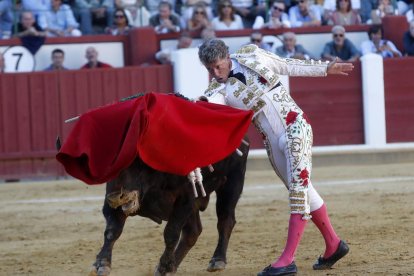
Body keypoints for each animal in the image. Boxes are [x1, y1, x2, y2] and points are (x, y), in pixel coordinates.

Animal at [90, 140, 249, 276]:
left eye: (138, 159)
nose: (115, 197)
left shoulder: (186, 199)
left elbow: (171, 234)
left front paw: (164, 267)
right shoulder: (113, 200)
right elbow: (112, 231)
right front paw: (101, 264)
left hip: (232, 183)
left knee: (225, 221)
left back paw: (217, 260)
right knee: (193, 231)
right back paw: (174, 265)